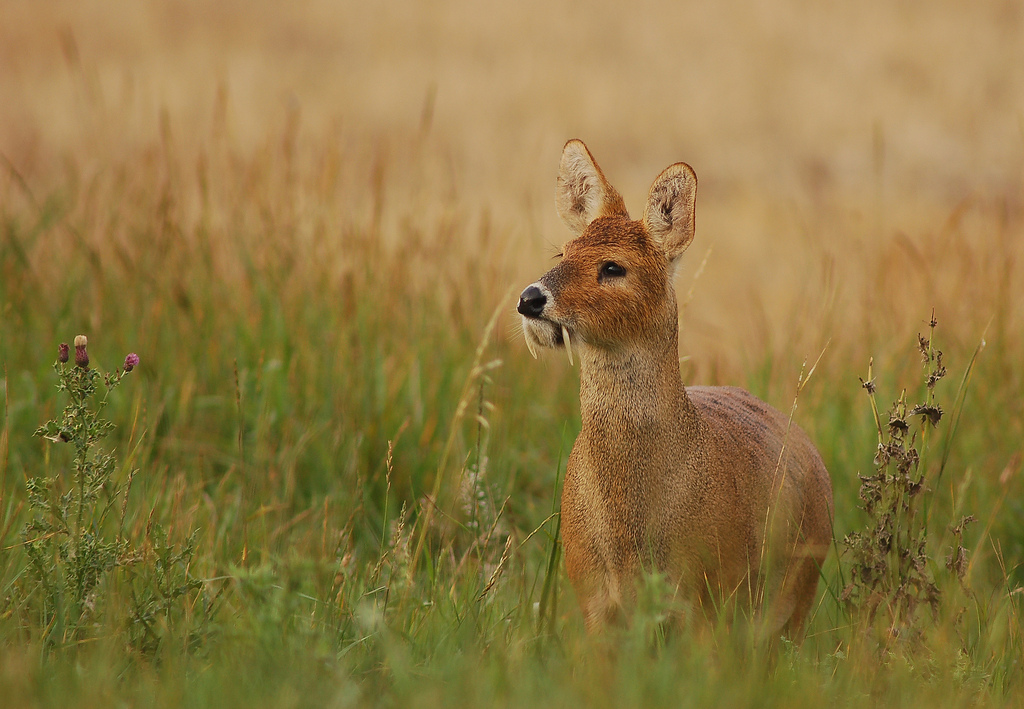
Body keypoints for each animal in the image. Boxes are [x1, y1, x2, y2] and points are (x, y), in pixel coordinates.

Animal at [520, 138, 831, 635]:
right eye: (562, 254)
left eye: (613, 266)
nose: (529, 299)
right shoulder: (589, 594)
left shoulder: (705, 594)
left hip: (795, 597)